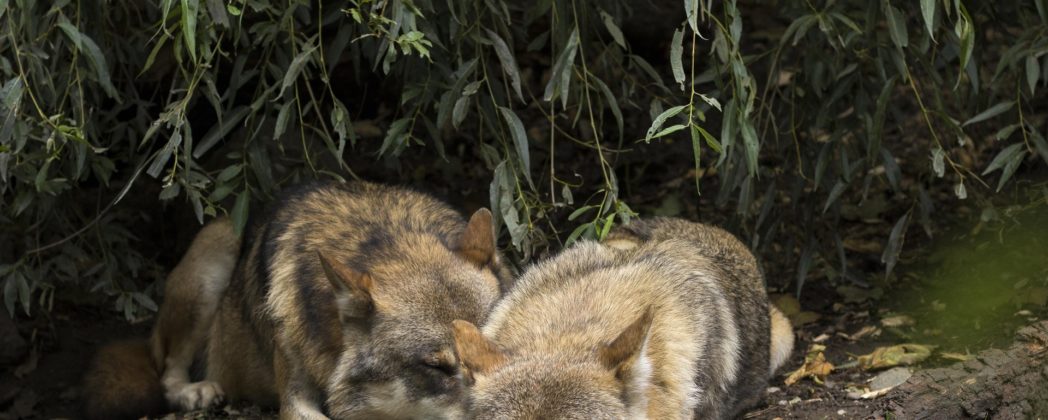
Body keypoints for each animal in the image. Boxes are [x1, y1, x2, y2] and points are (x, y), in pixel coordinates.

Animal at [82, 181, 512, 420]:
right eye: (436, 367)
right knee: (167, 371)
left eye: (497, 351)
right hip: (213, 258)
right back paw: (195, 391)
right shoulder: (294, 399)